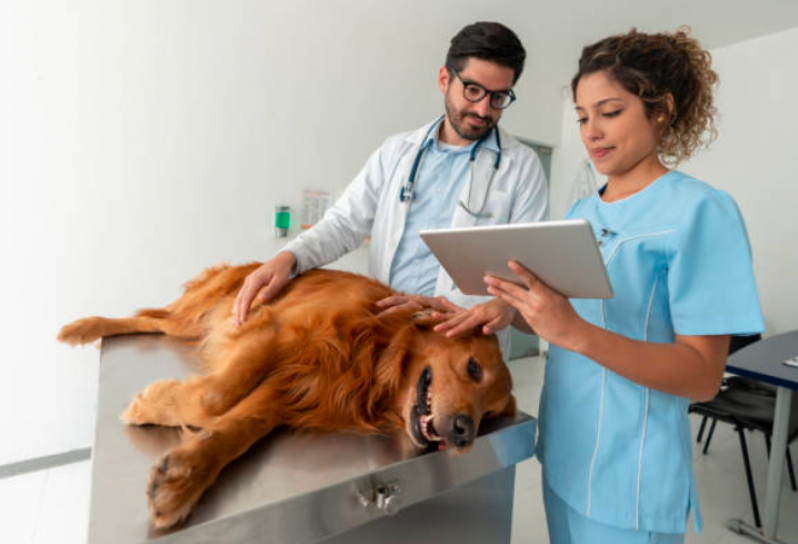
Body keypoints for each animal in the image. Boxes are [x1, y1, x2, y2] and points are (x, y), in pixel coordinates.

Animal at [57, 266, 520, 528]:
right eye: (473, 368)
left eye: (490, 416)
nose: (464, 434)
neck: (376, 358)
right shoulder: (273, 329)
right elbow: (214, 396)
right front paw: (152, 403)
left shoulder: (291, 392)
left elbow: (236, 428)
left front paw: (180, 479)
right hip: (218, 305)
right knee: (151, 319)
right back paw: (85, 327)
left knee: (155, 321)